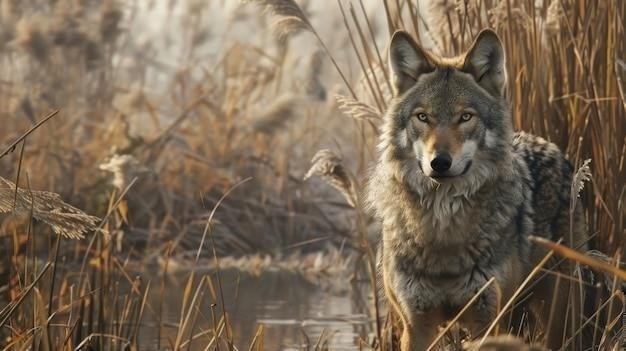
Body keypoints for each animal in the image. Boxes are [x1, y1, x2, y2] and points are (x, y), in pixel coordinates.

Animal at [366, 28, 584, 350]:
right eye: (423, 117)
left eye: (465, 117)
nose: (439, 162)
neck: (443, 232)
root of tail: (549, 144)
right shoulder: (415, 326)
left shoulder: (487, 321)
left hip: (558, 311)